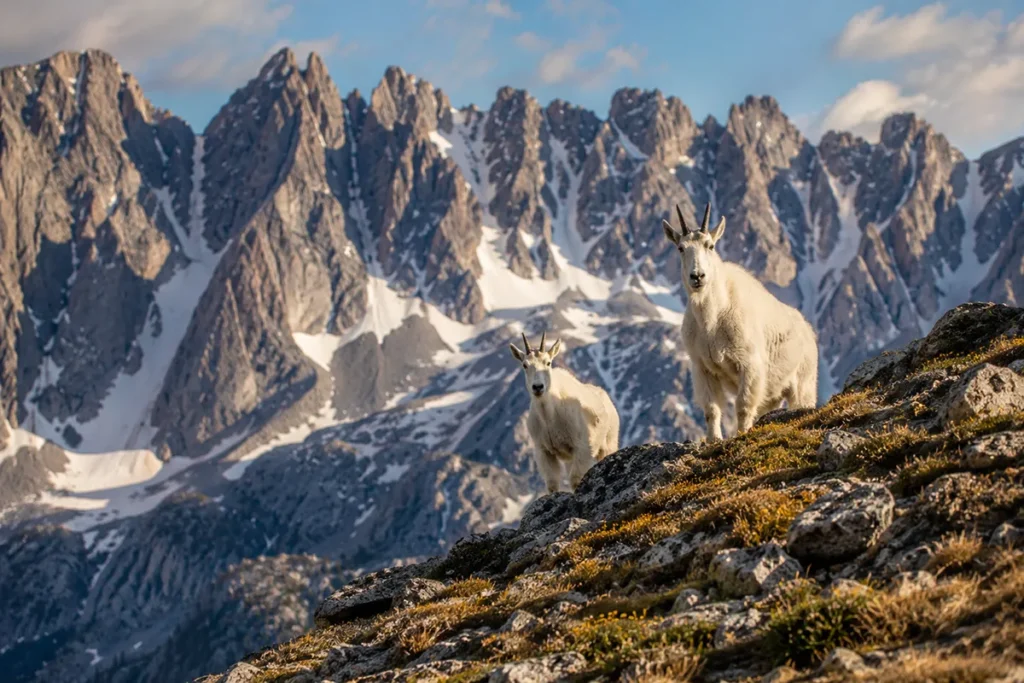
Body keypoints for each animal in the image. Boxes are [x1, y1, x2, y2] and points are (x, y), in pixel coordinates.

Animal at [509, 332, 620, 493]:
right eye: (525, 365)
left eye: (548, 363)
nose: (538, 387)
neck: (549, 417)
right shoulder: (543, 451)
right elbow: (552, 484)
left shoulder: (582, 447)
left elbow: (575, 480)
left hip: (609, 441)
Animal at [663, 203, 819, 440]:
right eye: (681, 248)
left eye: (710, 245)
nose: (697, 276)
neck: (712, 319)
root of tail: (809, 331)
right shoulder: (702, 367)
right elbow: (711, 409)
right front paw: (713, 440)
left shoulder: (750, 365)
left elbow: (743, 405)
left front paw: (742, 434)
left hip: (804, 381)